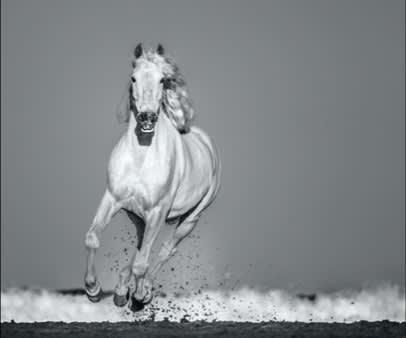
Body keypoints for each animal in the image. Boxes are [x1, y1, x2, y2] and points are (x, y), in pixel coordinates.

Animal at [83, 43, 220, 310]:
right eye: (133, 78)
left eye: (162, 80)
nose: (147, 117)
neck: (141, 158)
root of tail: (206, 143)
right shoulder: (113, 198)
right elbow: (92, 237)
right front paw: (93, 289)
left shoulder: (158, 211)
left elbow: (142, 262)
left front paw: (138, 297)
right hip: (139, 217)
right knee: (140, 248)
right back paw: (120, 290)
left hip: (190, 218)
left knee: (165, 250)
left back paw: (143, 291)